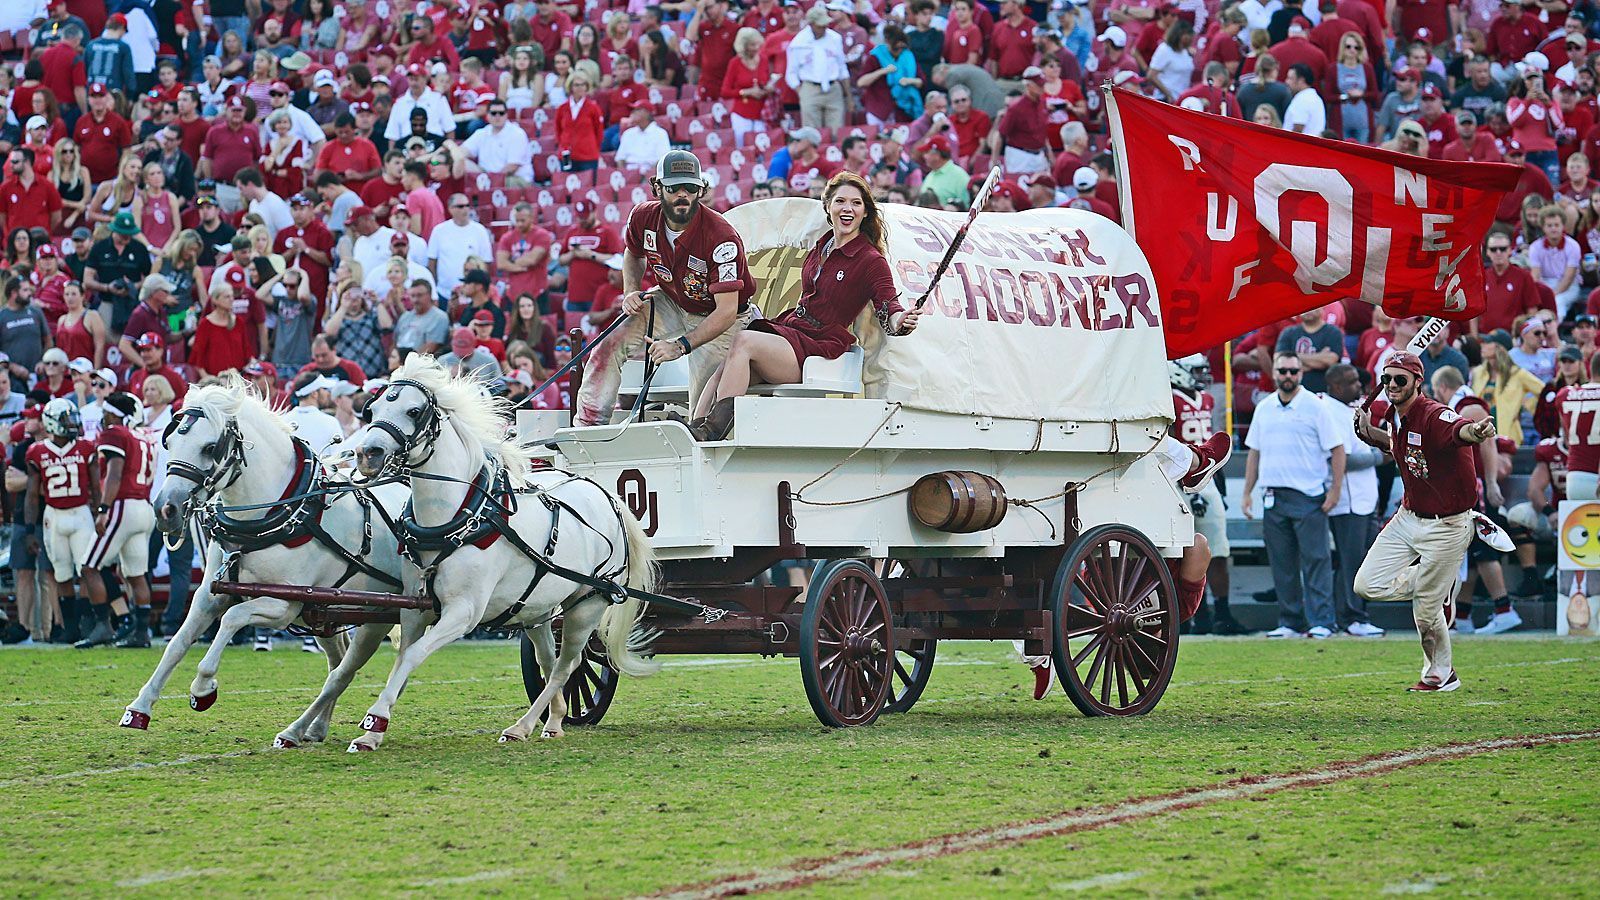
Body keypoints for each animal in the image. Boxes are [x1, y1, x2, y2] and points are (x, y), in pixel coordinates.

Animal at [126, 374, 412, 746]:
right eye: (170, 442)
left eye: (210, 448)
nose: (166, 509)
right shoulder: (209, 595)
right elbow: (177, 643)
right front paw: (139, 708)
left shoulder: (283, 604)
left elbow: (231, 619)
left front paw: (203, 689)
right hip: (323, 616)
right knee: (337, 662)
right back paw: (316, 727)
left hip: (376, 618)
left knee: (349, 670)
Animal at [350, 353, 656, 746]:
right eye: (372, 410)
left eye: (414, 411)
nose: (367, 454)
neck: (457, 519)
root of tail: (607, 495)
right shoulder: (416, 607)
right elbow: (403, 658)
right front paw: (375, 726)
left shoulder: (464, 612)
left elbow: (413, 655)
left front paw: (375, 721)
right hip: (538, 608)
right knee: (549, 660)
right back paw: (553, 720)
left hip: (587, 604)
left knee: (568, 665)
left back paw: (522, 725)